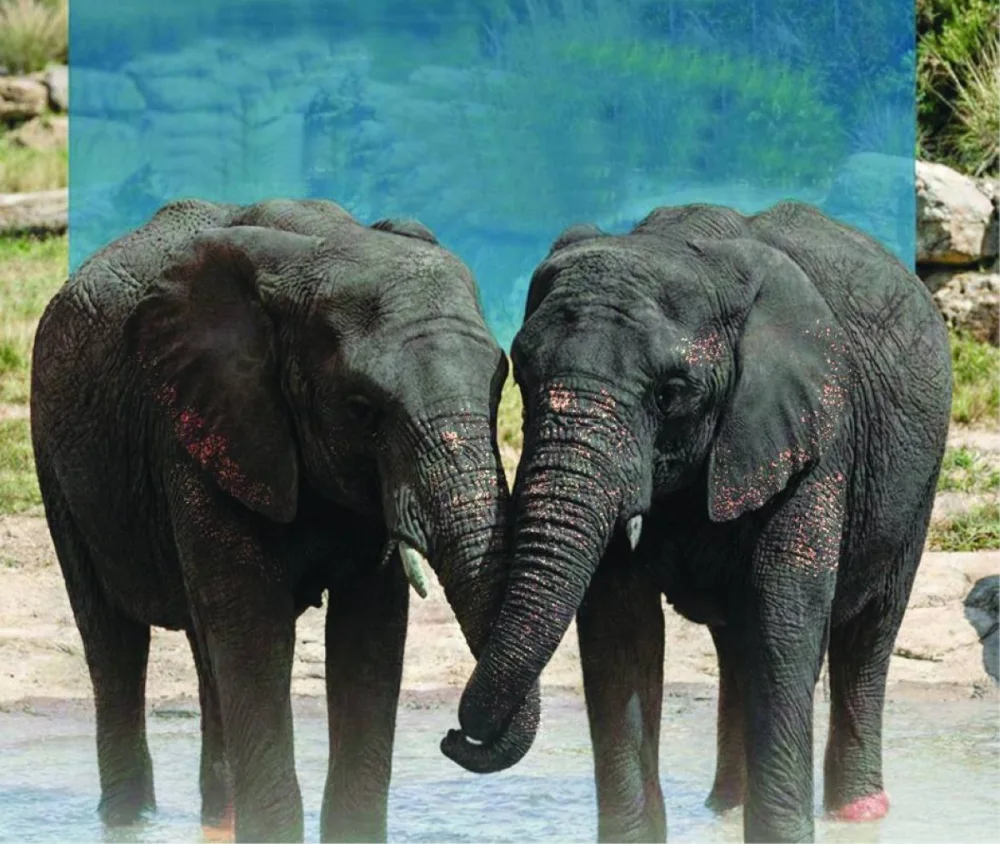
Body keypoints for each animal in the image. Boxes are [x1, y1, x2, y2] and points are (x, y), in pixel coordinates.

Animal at [30, 197, 539, 842]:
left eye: (499, 384)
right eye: (361, 409)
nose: (454, 736)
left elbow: (369, 632)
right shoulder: (205, 429)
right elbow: (254, 628)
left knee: (203, 648)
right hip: (56, 451)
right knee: (113, 639)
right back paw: (129, 819)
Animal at [441, 201, 953, 842]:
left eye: (670, 393)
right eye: (523, 379)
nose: (453, 737)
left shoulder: (816, 438)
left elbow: (782, 619)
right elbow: (620, 631)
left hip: (918, 478)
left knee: (868, 632)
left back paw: (858, 813)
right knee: (738, 646)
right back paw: (725, 809)